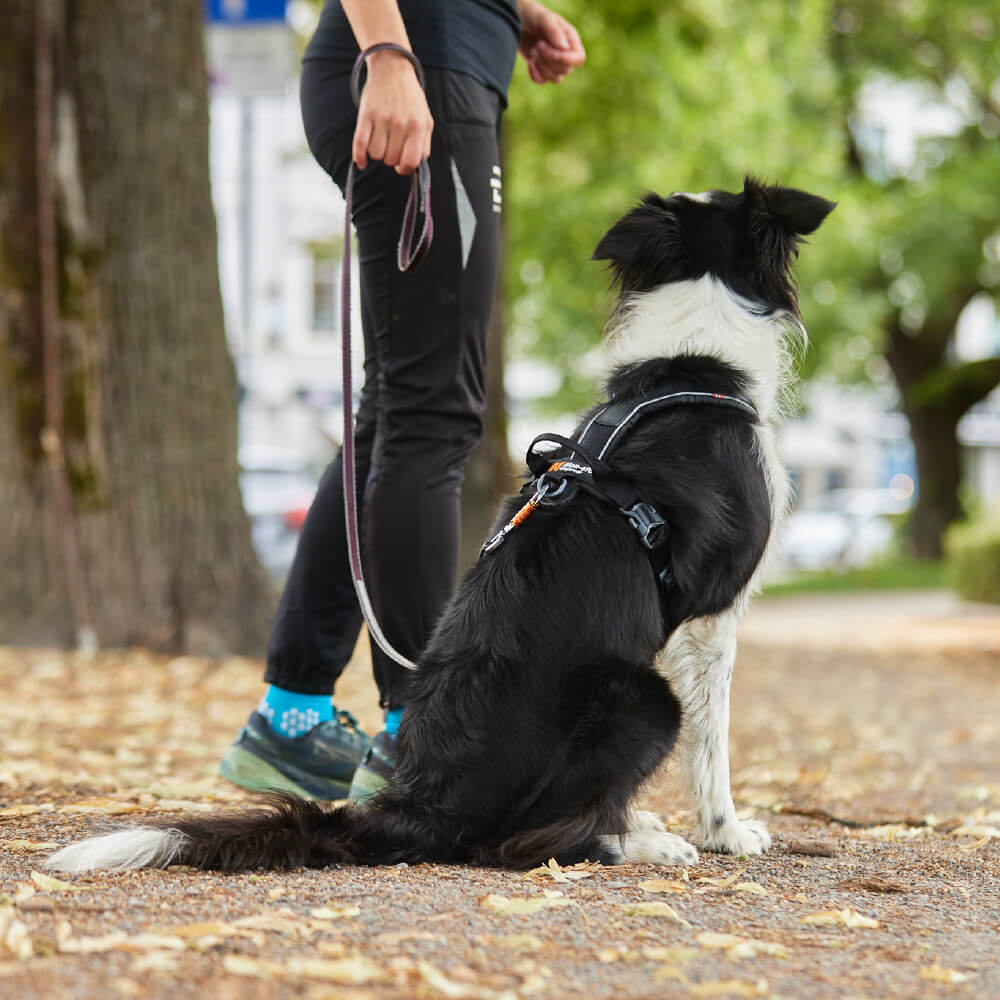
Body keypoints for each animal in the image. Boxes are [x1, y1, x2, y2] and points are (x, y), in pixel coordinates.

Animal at [47, 178, 832, 876]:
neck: (694, 364)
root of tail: (420, 805)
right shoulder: (712, 617)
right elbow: (713, 741)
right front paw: (725, 832)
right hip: (642, 697)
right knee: (523, 841)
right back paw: (637, 843)